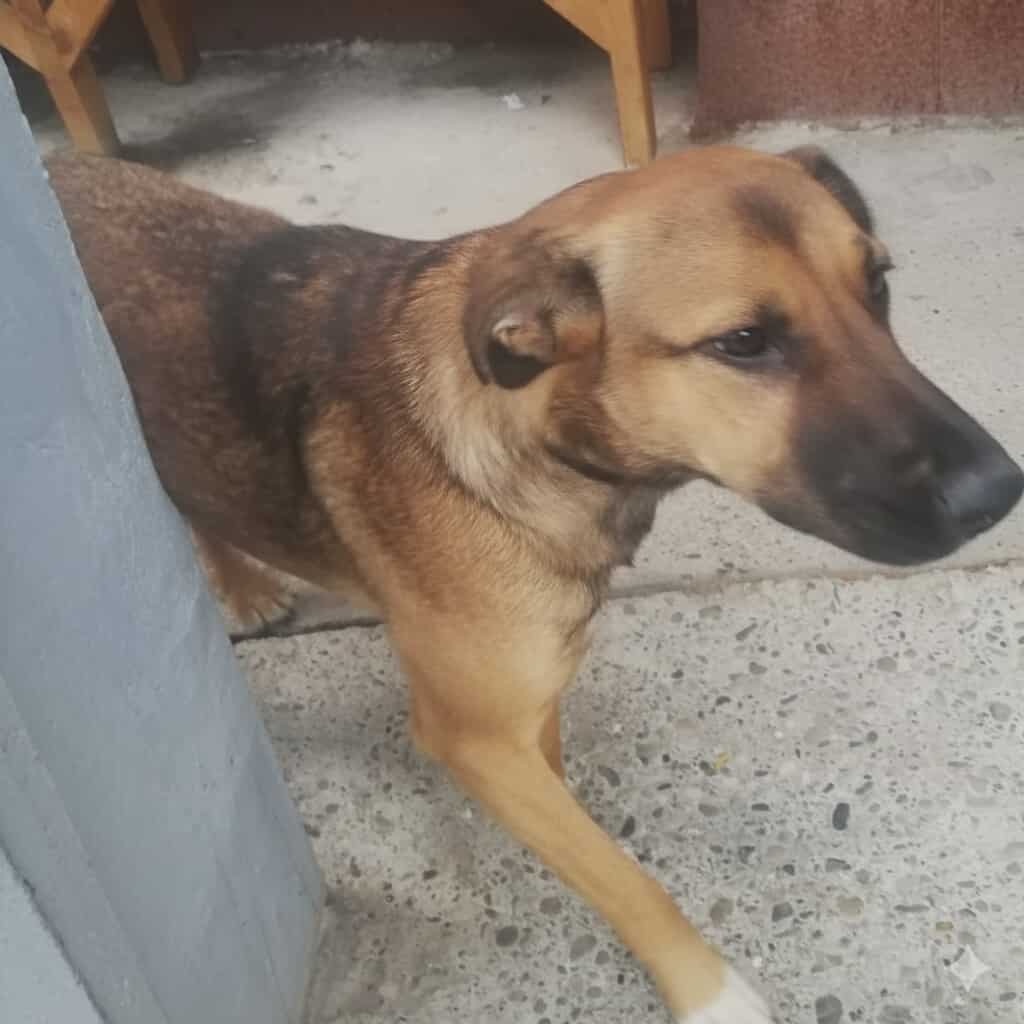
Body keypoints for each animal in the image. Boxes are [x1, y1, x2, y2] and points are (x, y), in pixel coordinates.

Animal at [48, 145, 1022, 1022]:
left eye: (879, 288)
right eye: (744, 342)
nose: (999, 491)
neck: (534, 437)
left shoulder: (528, 697)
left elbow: (565, 797)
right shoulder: (471, 733)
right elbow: (626, 880)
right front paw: (706, 992)